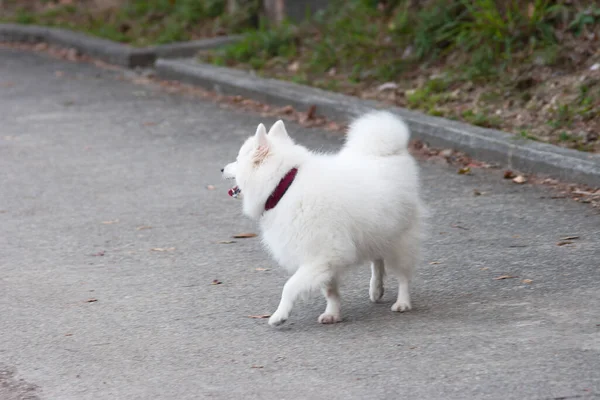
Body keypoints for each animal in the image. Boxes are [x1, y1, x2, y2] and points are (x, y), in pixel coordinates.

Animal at [223, 110, 424, 324]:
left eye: (237, 160)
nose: (222, 169)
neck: (285, 185)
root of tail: (392, 152)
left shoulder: (322, 255)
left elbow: (290, 286)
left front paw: (280, 314)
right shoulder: (325, 260)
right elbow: (330, 291)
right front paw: (332, 313)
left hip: (401, 239)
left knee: (403, 275)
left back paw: (403, 302)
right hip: (378, 229)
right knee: (377, 259)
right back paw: (376, 289)